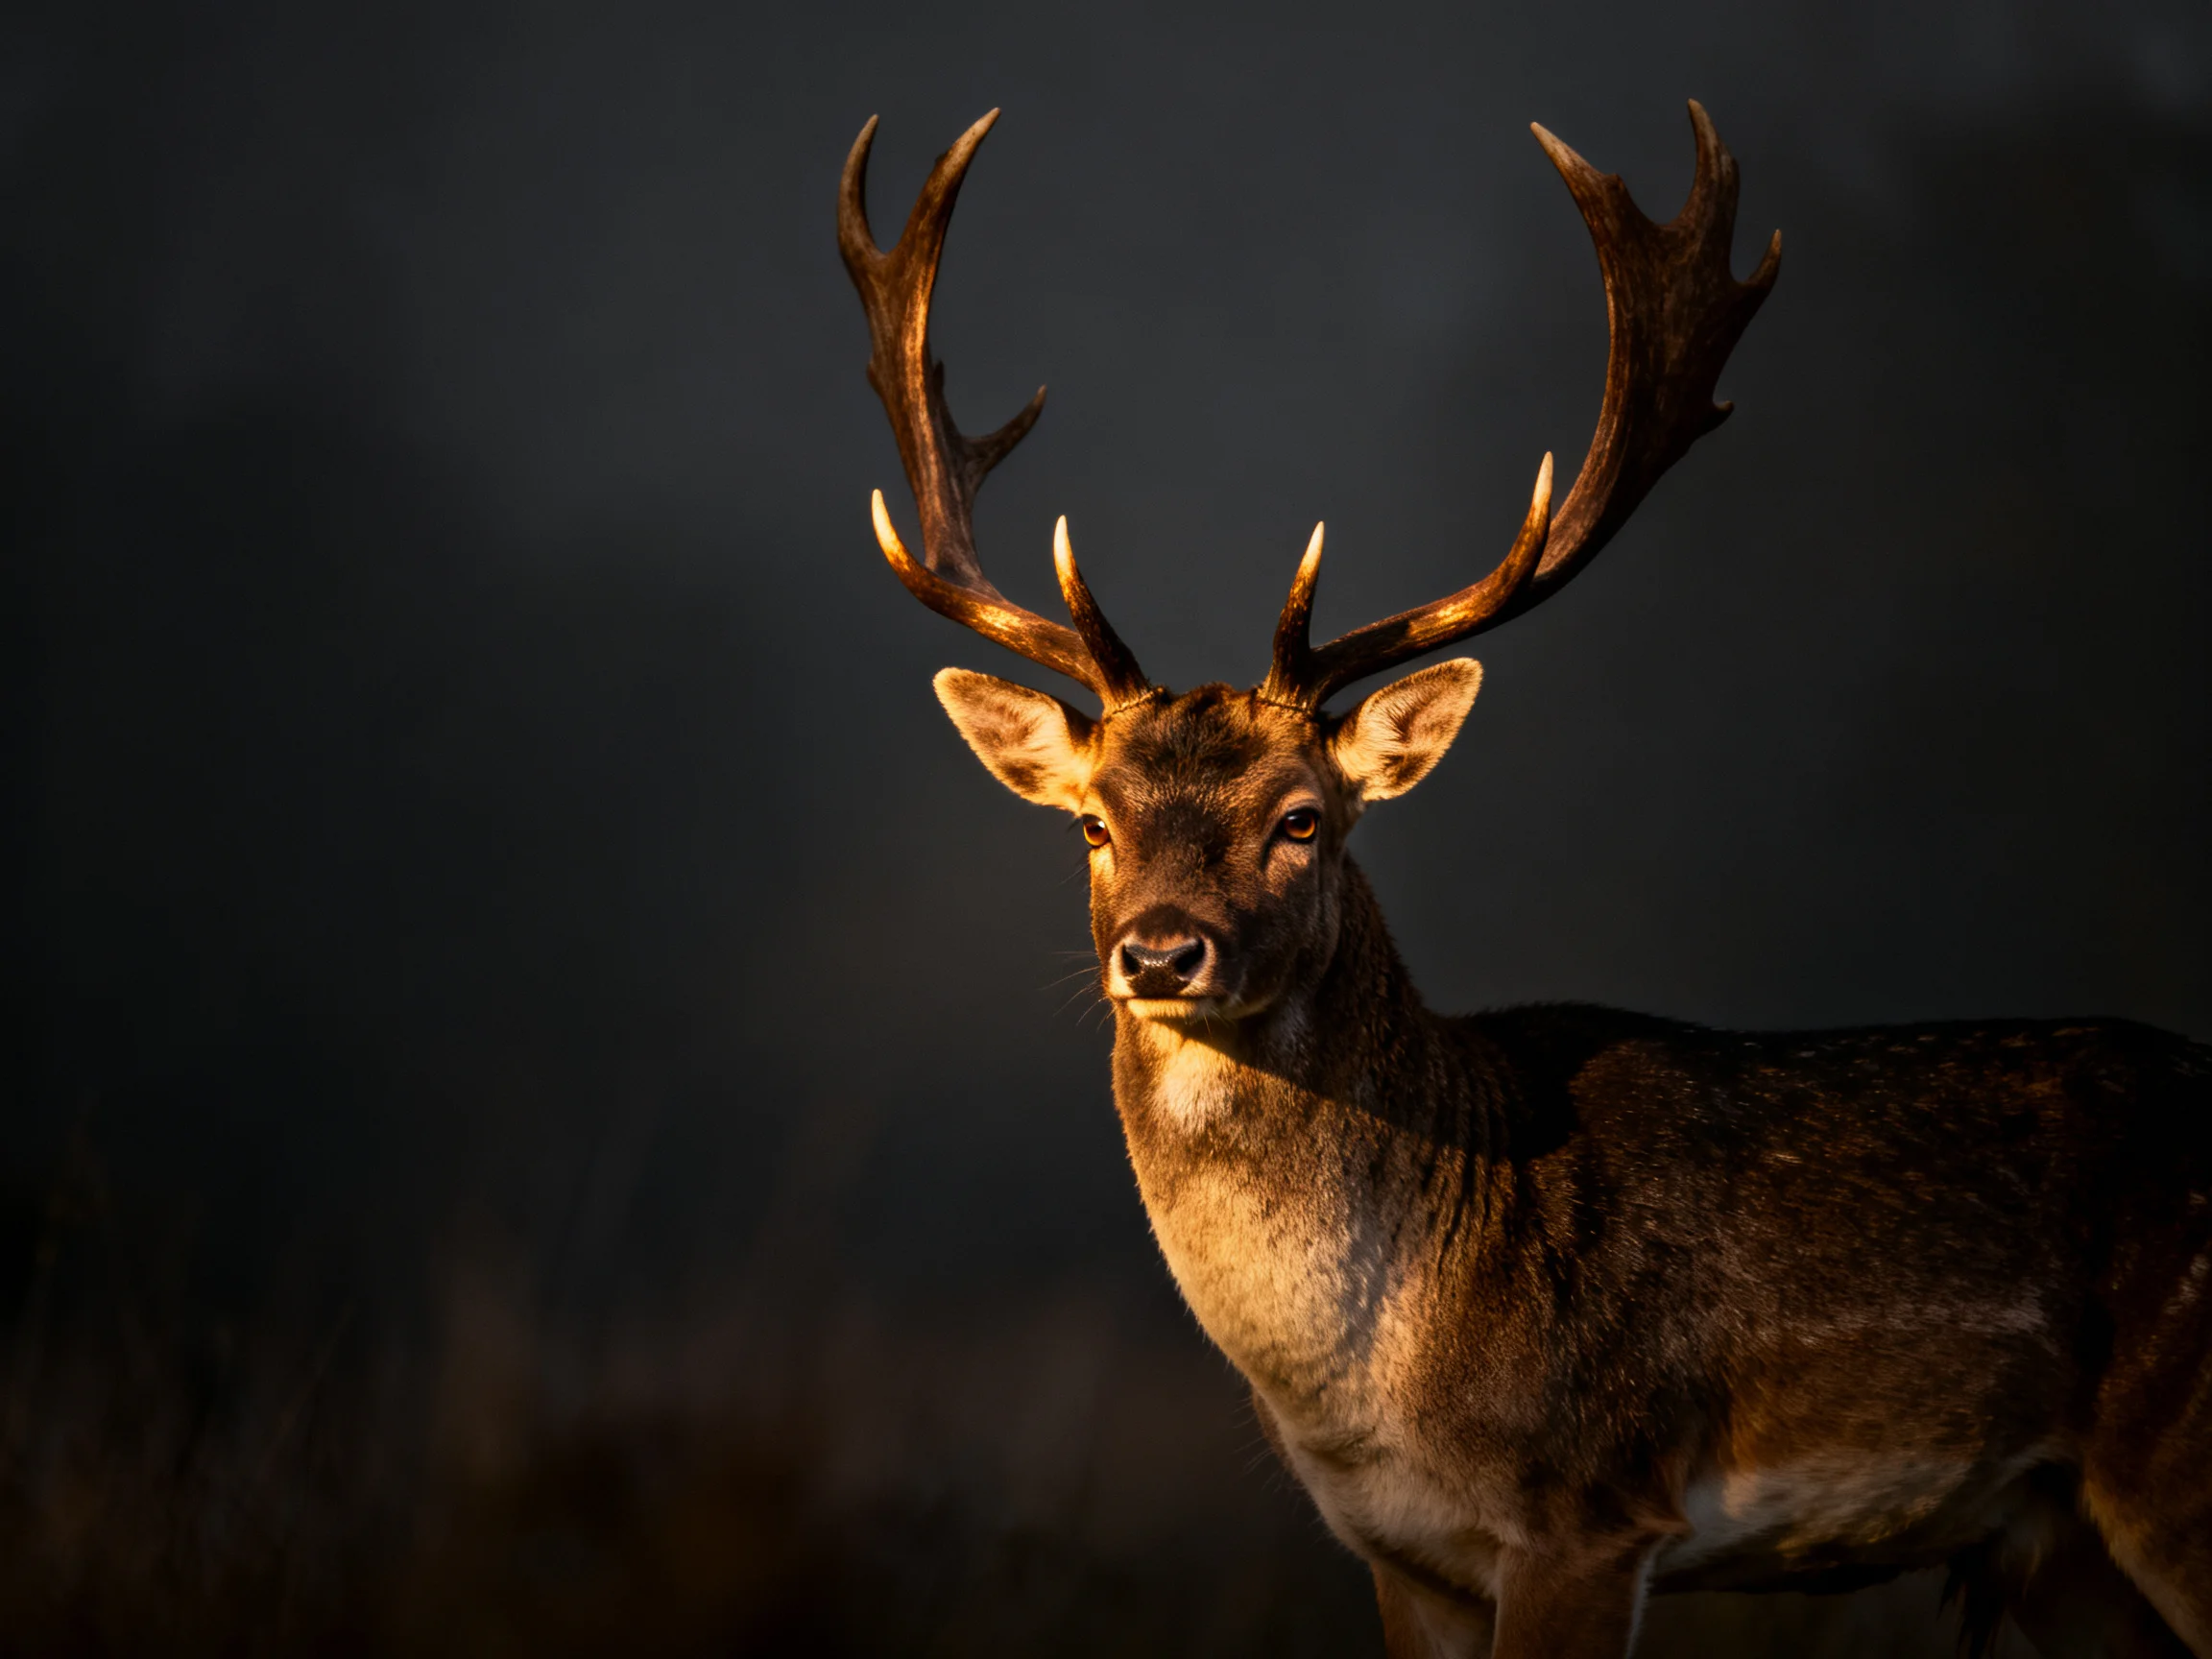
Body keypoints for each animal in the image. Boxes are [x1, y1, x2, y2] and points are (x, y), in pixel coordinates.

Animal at [835, 103, 2212, 1658]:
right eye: (1091, 824)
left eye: (1303, 819)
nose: (1163, 951)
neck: (1389, 1390)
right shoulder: (1406, 1558)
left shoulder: (1589, 1510)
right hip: (2059, 1548)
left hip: (2180, 1454)